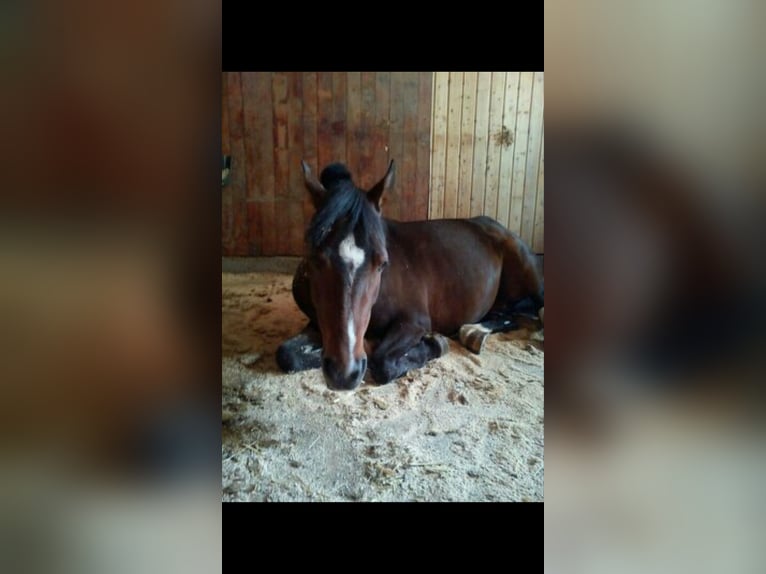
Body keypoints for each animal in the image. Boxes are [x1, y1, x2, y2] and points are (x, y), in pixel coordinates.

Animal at [278, 161, 544, 392]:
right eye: (315, 259)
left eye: (382, 263)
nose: (344, 374)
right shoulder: (319, 324)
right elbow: (287, 355)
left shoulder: (414, 322)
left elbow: (382, 363)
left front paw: (435, 343)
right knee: (507, 314)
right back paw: (475, 331)